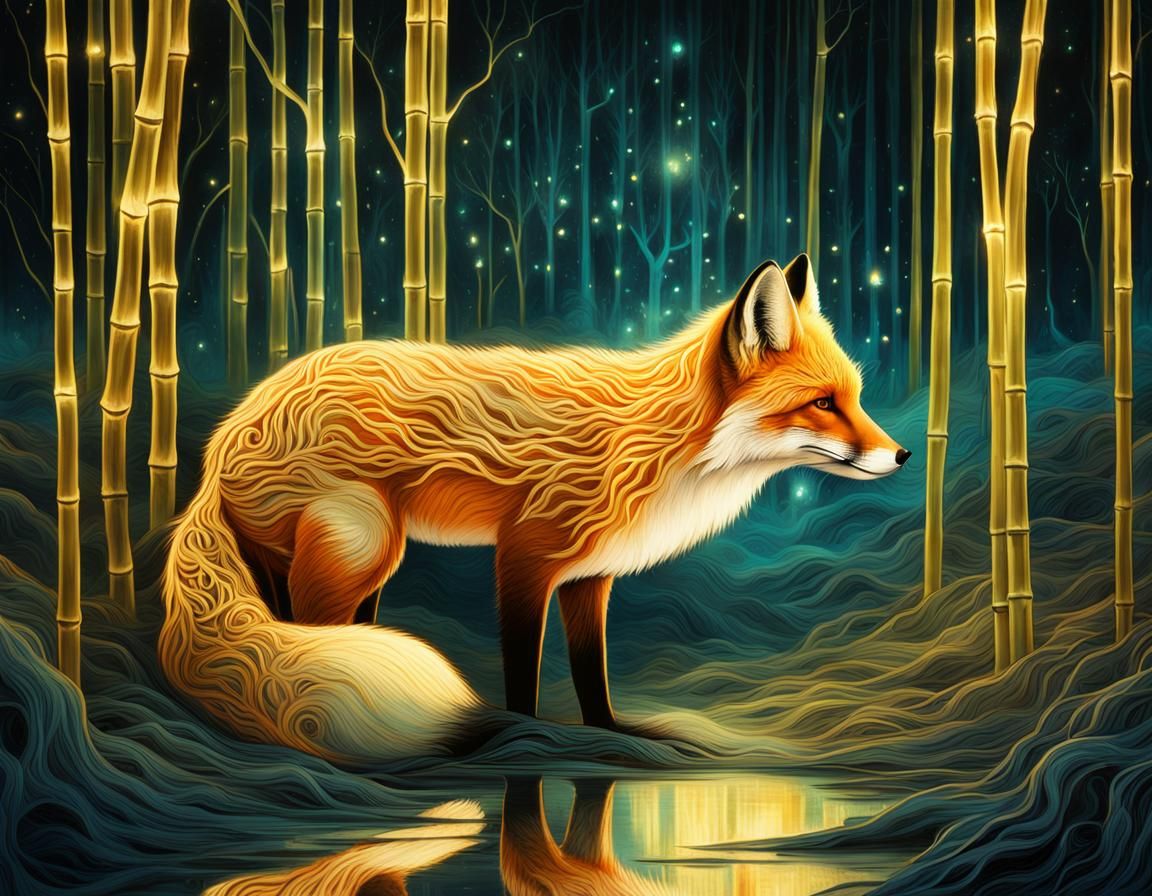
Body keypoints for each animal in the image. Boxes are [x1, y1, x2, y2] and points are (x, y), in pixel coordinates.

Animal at [160, 254, 908, 765]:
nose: (901, 455)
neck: (658, 444)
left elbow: (591, 676)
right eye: (822, 403)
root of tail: (222, 440)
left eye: (855, 396)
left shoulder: (590, 578)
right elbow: (523, 669)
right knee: (310, 636)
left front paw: (609, 736)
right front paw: (527, 736)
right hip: (362, 543)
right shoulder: (524, 557)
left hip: (349, 567)